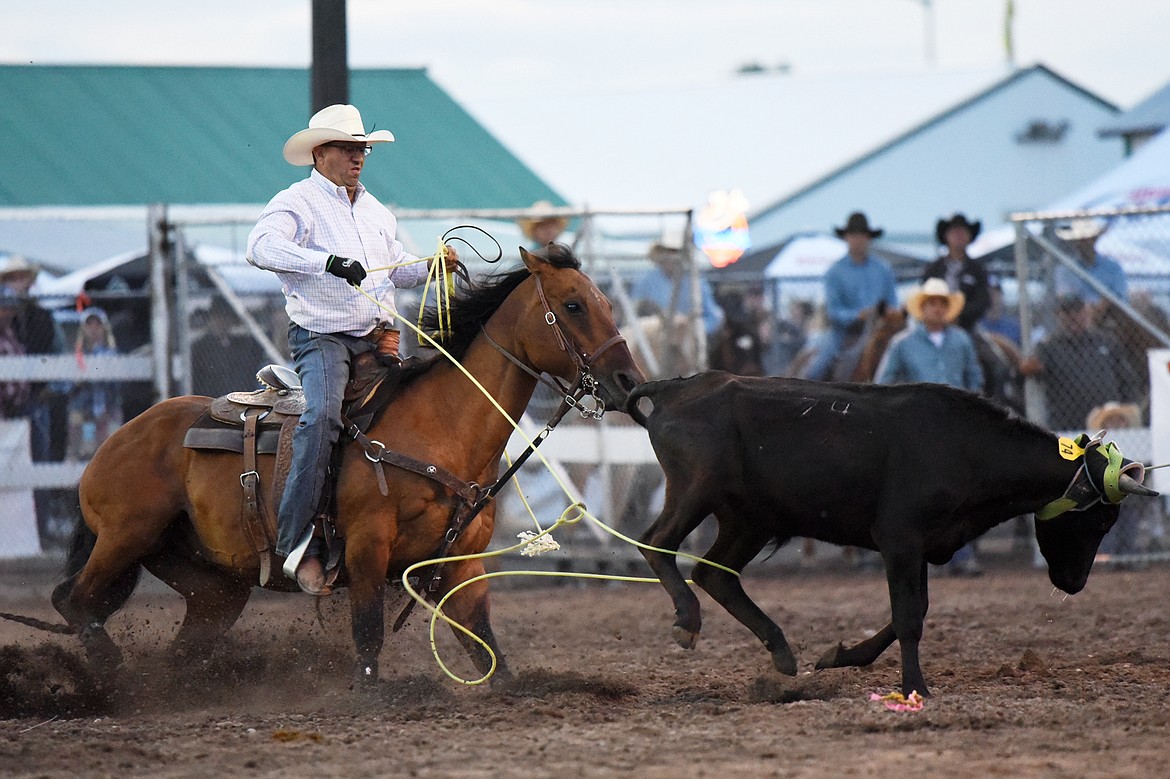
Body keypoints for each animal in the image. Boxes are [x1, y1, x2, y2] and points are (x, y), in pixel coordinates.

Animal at [45, 245, 645, 683]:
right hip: (127, 534)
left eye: (609, 304)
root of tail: (118, 439)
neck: (441, 431)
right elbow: (368, 636)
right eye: (573, 305)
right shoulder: (365, 548)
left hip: (213, 586)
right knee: (72, 599)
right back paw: (107, 670)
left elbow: (489, 655)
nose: (629, 383)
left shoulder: (464, 565)